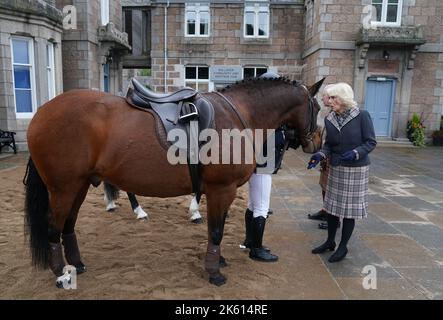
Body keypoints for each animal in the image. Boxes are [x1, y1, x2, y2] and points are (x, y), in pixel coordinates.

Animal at [23, 76, 322, 286]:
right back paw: (61, 273)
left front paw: (219, 259)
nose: (316, 143)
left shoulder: (219, 192)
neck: (239, 114)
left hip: (80, 185)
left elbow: (218, 227)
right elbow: (216, 231)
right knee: (53, 228)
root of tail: (41, 112)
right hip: (63, 188)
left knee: (68, 225)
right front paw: (214, 271)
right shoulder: (221, 189)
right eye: (317, 107)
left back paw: (77, 265)